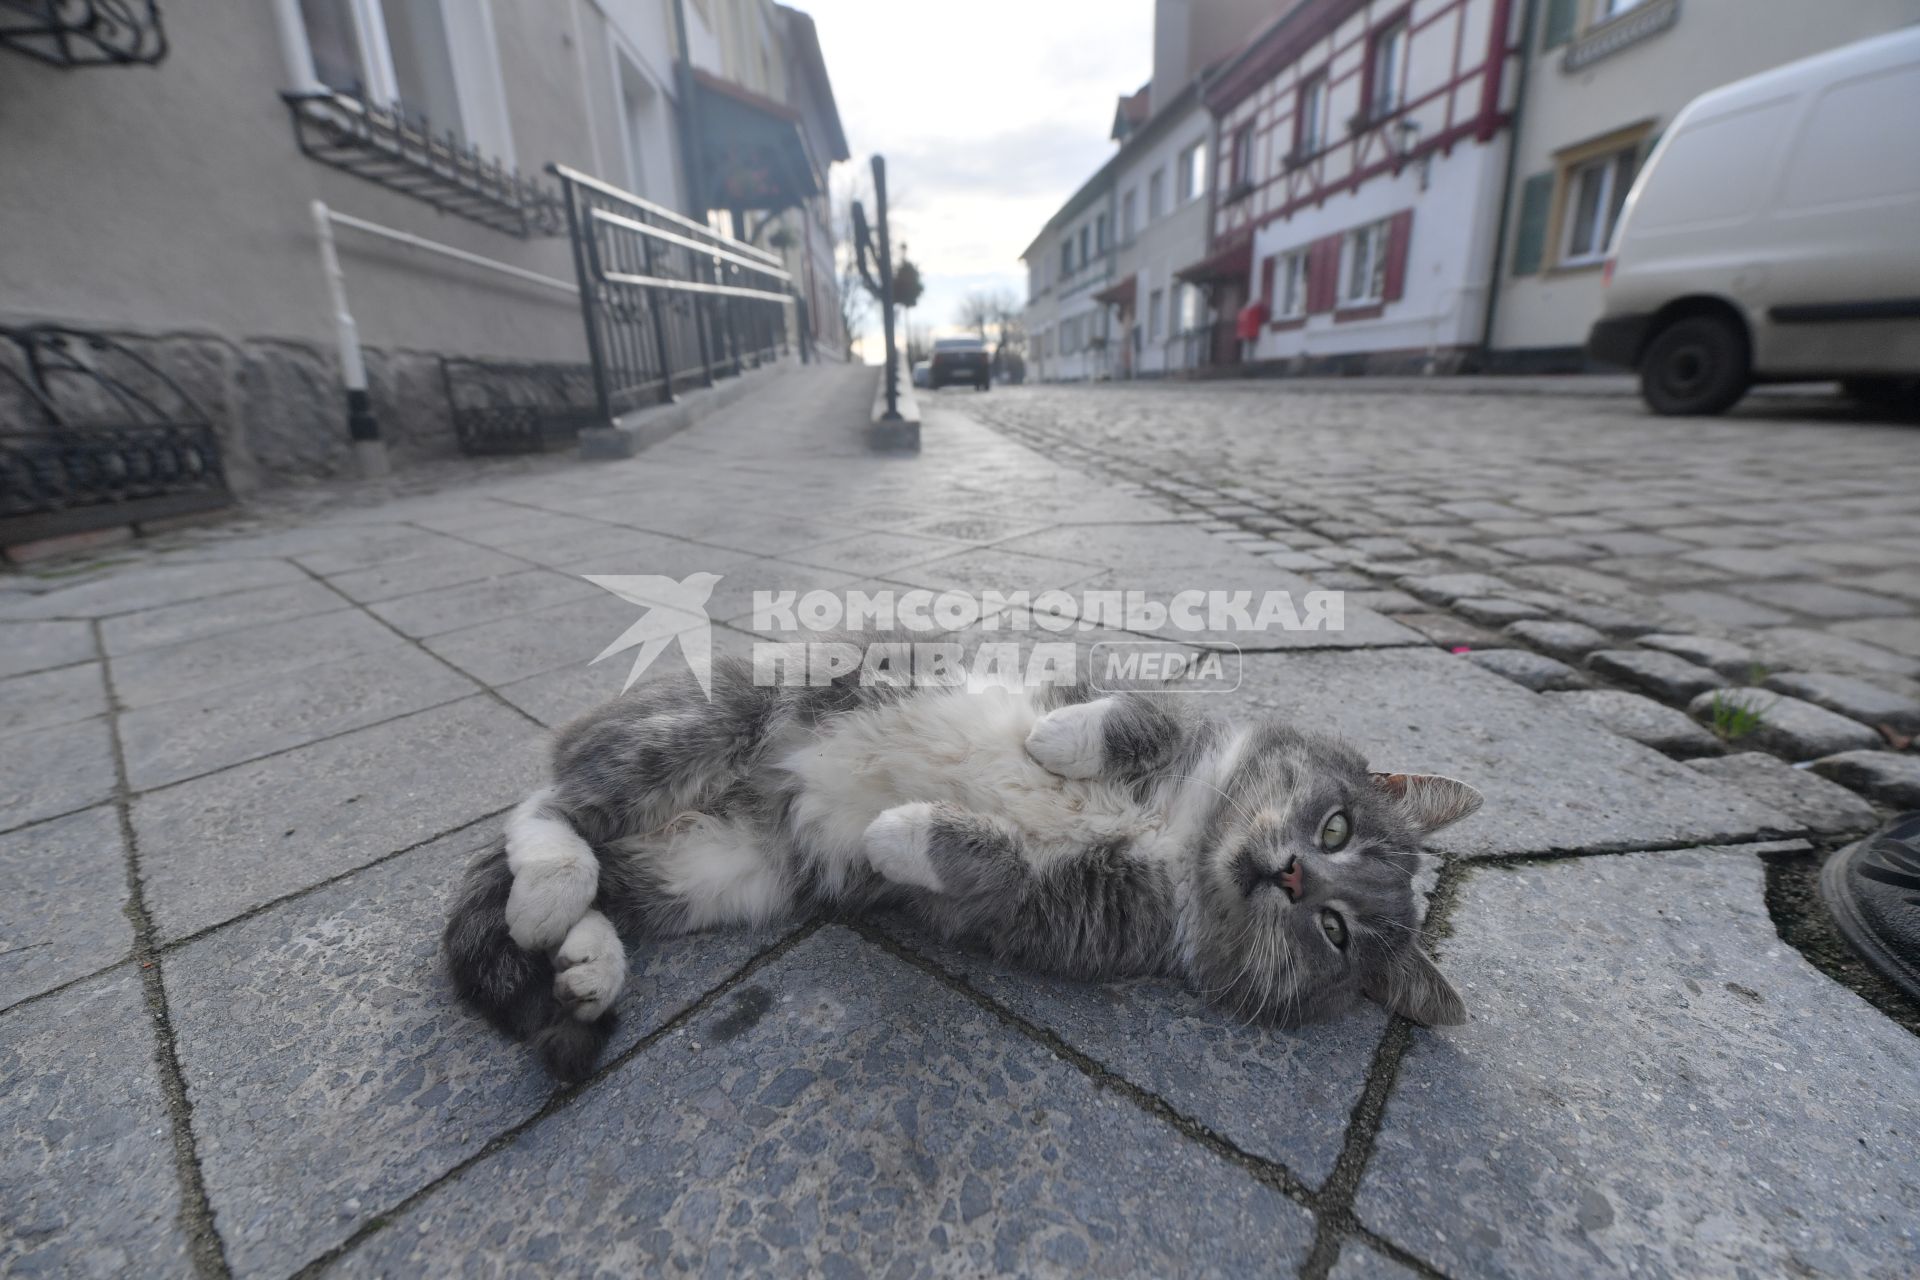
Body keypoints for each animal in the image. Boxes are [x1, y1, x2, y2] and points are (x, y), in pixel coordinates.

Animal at [441, 652, 1474, 1082]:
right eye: (1336, 826)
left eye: (1334, 932)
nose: (1293, 875)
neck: (1182, 834)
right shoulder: (1143, 711)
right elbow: (1133, 709)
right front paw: (1057, 739)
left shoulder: (1073, 915)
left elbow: (995, 869)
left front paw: (898, 834)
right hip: (708, 723)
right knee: (550, 803)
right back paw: (550, 890)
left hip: (727, 870)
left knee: (610, 866)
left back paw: (584, 959)